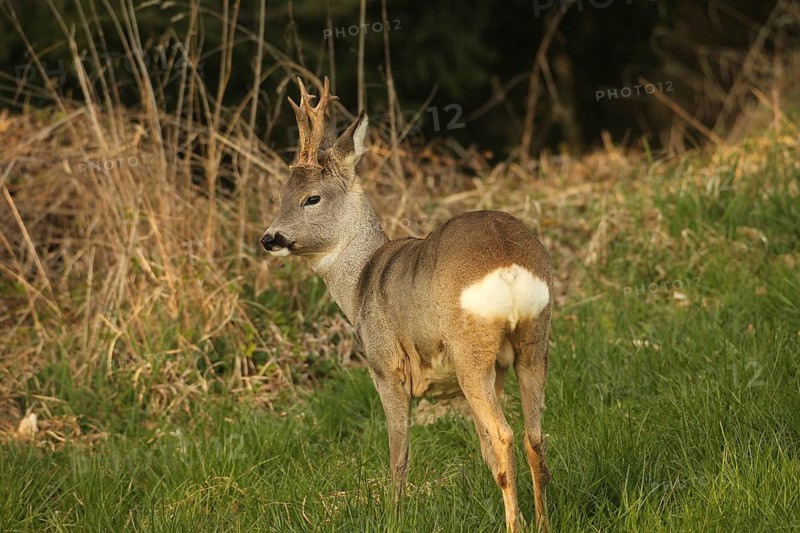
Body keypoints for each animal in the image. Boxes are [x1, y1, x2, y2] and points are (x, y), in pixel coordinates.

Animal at [260, 77, 553, 533]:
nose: (269, 238)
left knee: (506, 436)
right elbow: (484, 451)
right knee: (533, 436)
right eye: (280, 196)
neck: (360, 281)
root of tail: (508, 264)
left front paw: (393, 515)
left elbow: (399, 455)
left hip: (470, 350)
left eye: (312, 198)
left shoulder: (385, 366)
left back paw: (515, 526)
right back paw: (540, 521)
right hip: (532, 340)